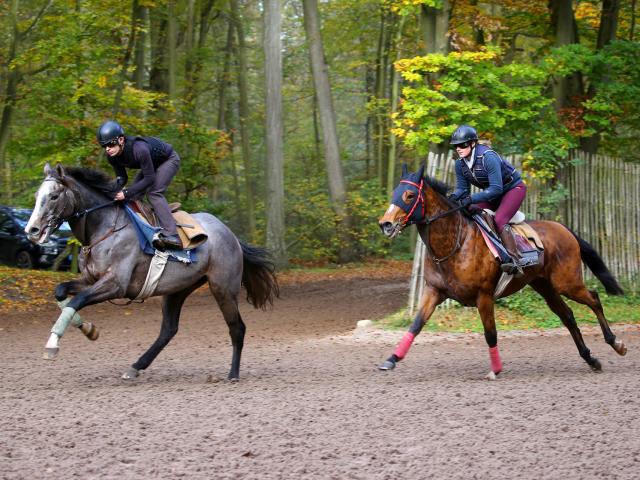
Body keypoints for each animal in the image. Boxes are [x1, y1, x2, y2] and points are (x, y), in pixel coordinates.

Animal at [25, 163, 280, 380]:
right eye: (37, 197)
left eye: (54, 196)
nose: (32, 230)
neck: (105, 228)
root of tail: (231, 234)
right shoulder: (90, 279)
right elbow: (62, 292)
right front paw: (89, 329)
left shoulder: (115, 284)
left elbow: (76, 301)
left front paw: (53, 344)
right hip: (177, 290)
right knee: (168, 330)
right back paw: (136, 367)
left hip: (223, 288)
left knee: (237, 327)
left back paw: (233, 374)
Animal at [380, 165, 624, 378]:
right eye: (395, 193)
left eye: (410, 195)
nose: (386, 224)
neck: (453, 243)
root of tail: (565, 229)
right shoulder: (434, 291)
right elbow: (415, 325)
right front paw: (391, 359)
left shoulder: (484, 296)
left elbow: (490, 334)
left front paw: (495, 370)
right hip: (545, 286)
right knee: (568, 316)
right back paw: (591, 359)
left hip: (567, 283)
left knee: (594, 299)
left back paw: (616, 343)